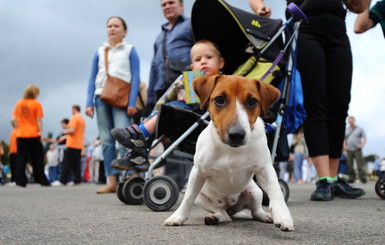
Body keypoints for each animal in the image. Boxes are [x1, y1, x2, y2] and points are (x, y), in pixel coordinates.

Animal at [164, 74, 292, 232]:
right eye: (219, 99)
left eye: (252, 101)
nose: (236, 134)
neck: (231, 149)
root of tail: (231, 207)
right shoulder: (198, 172)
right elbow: (188, 198)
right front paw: (178, 216)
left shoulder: (265, 168)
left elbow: (276, 189)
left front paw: (283, 215)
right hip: (201, 198)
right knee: (223, 214)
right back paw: (214, 217)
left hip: (255, 191)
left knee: (255, 211)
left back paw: (265, 215)